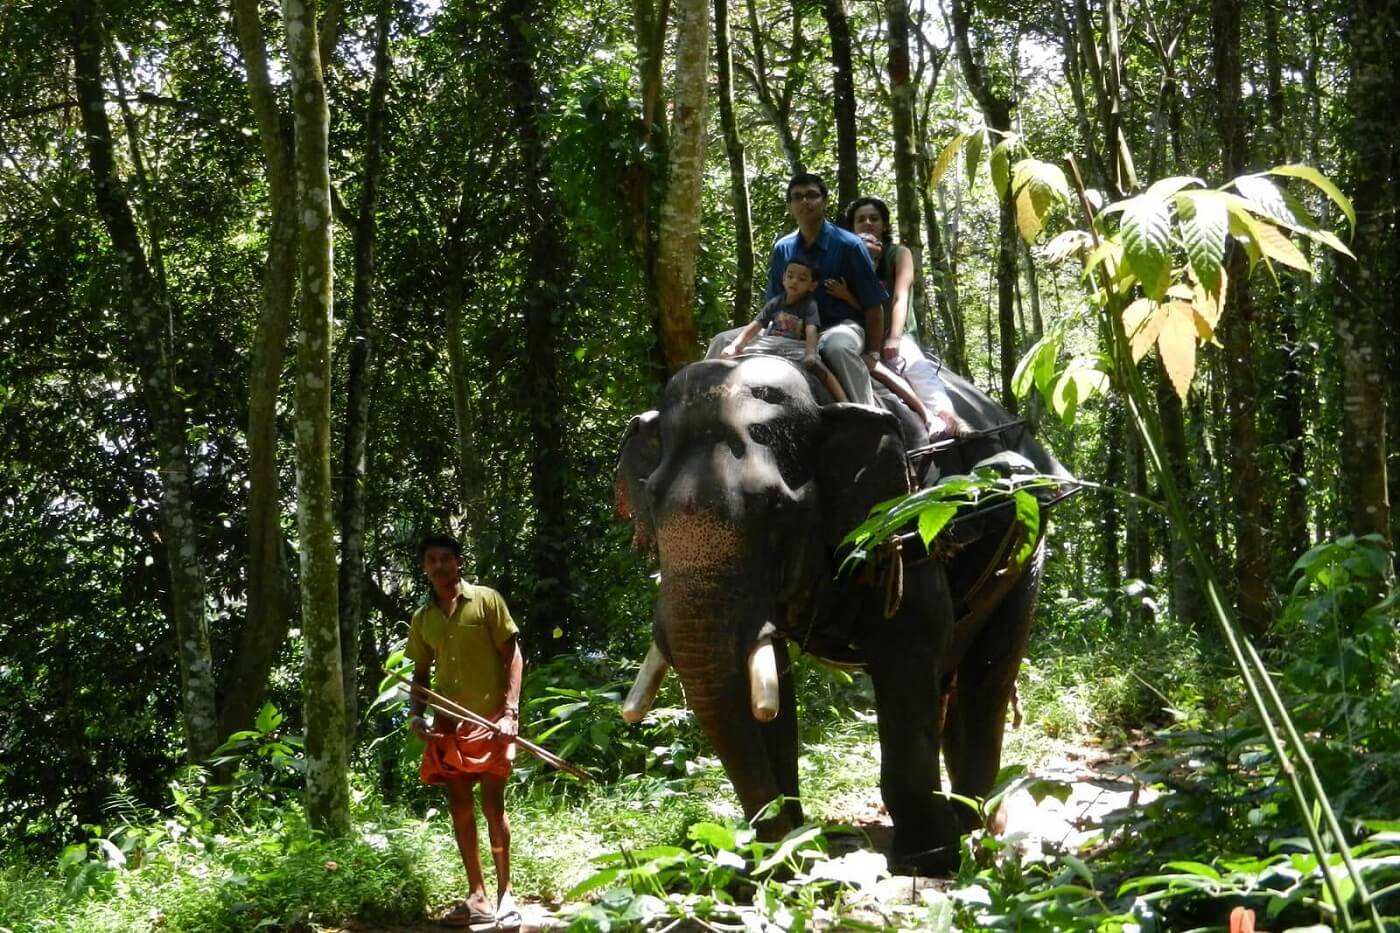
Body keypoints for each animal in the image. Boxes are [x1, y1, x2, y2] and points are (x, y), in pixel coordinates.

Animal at [613, 353, 1072, 873]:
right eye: (650, 501)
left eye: (774, 507)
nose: (784, 851)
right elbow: (769, 679)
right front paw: (785, 855)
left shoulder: (902, 527)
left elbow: (909, 651)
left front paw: (930, 859)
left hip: (1028, 541)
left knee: (986, 677)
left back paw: (975, 826)